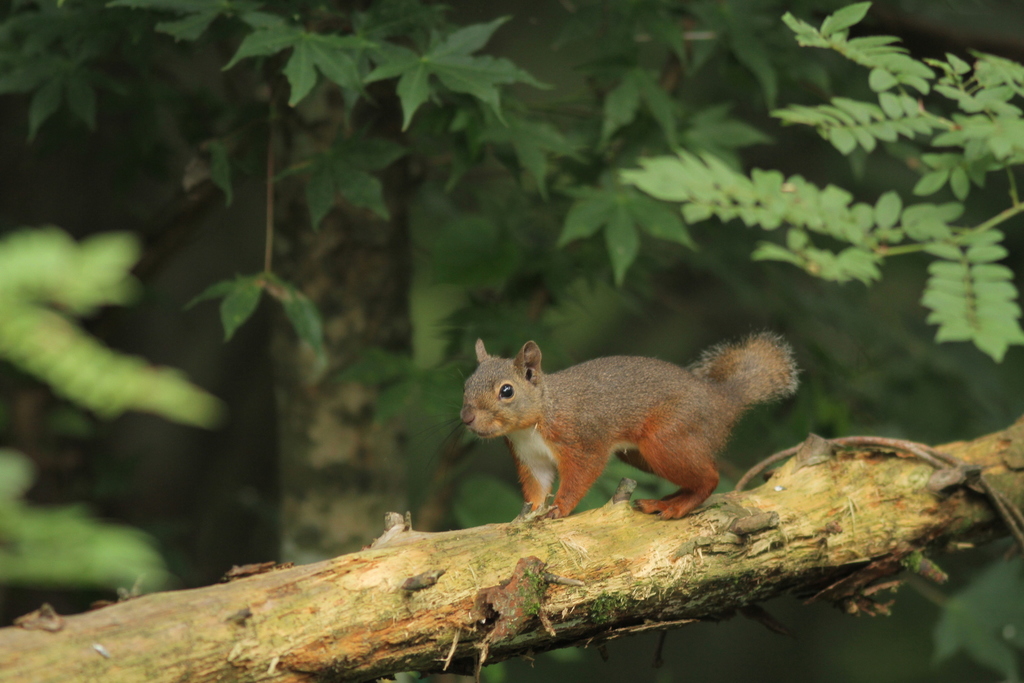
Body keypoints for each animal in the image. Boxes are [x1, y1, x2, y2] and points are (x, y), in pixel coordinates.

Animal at [460, 333, 798, 520]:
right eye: (466, 385)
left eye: (506, 391)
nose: (466, 418)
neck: (538, 417)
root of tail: (723, 401)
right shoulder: (530, 458)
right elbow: (537, 488)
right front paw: (528, 513)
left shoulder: (583, 440)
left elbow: (580, 475)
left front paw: (560, 509)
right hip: (642, 456)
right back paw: (668, 499)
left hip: (666, 438)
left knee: (710, 479)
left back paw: (677, 507)